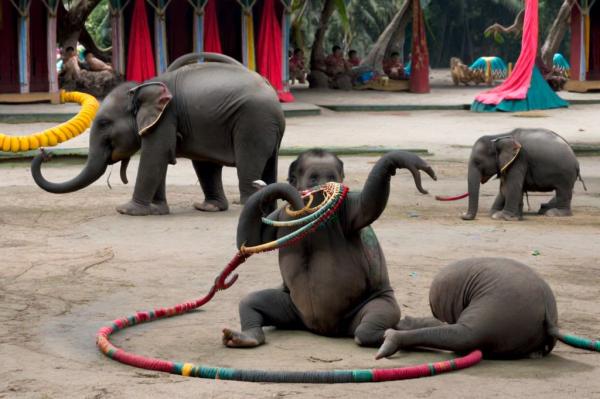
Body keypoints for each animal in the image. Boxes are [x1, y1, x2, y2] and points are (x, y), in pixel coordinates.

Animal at [31, 53, 284, 217]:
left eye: (103, 123)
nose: (45, 153)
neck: (142, 87)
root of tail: (272, 92)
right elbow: (159, 158)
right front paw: (157, 210)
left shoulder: (166, 116)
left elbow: (155, 155)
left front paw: (126, 210)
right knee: (216, 163)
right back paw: (216, 208)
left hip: (254, 122)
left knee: (247, 160)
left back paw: (247, 205)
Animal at [220, 150, 436, 350]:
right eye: (314, 177)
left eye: (332, 176)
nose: (323, 186)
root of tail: (325, 329)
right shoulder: (280, 216)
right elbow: (250, 241)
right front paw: (267, 193)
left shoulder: (349, 209)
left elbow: (368, 205)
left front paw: (401, 159)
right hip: (292, 309)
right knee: (250, 302)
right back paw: (246, 336)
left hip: (377, 303)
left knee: (369, 325)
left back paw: (394, 333)